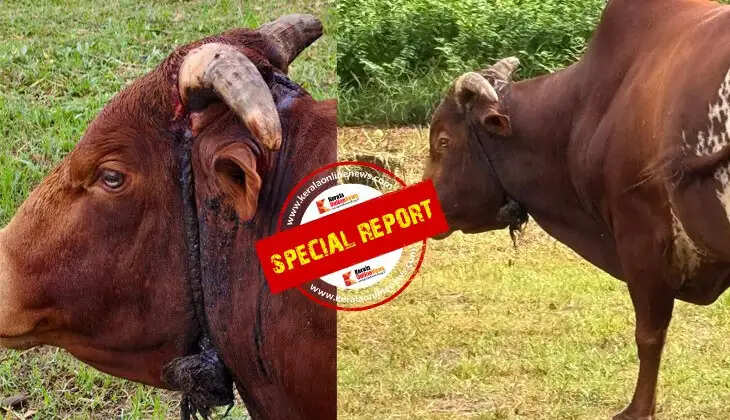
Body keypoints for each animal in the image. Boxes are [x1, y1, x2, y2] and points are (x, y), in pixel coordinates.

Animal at [423, 0, 730, 419]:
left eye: (443, 141)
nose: (425, 206)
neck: (589, 109)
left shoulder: (641, 238)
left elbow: (649, 335)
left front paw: (638, 409)